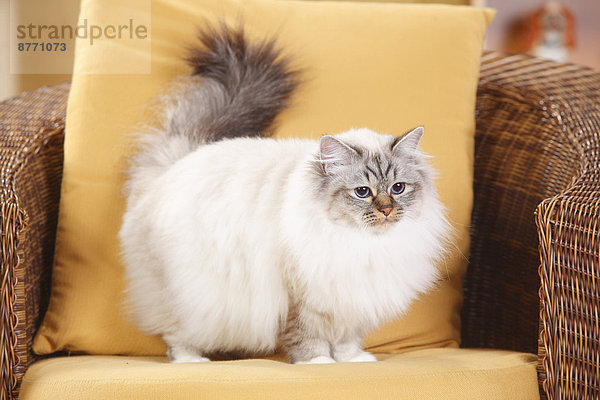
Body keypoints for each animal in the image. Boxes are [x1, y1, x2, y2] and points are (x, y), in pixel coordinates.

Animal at [119, 23, 452, 364]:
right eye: (362, 192)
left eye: (398, 188)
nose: (386, 209)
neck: (363, 245)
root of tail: (172, 167)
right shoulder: (303, 296)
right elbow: (308, 338)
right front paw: (319, 363)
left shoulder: (351, 299)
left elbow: (346, 340)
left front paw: (352, 360)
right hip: (187, 298)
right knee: (175, 336)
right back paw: (192, 360)